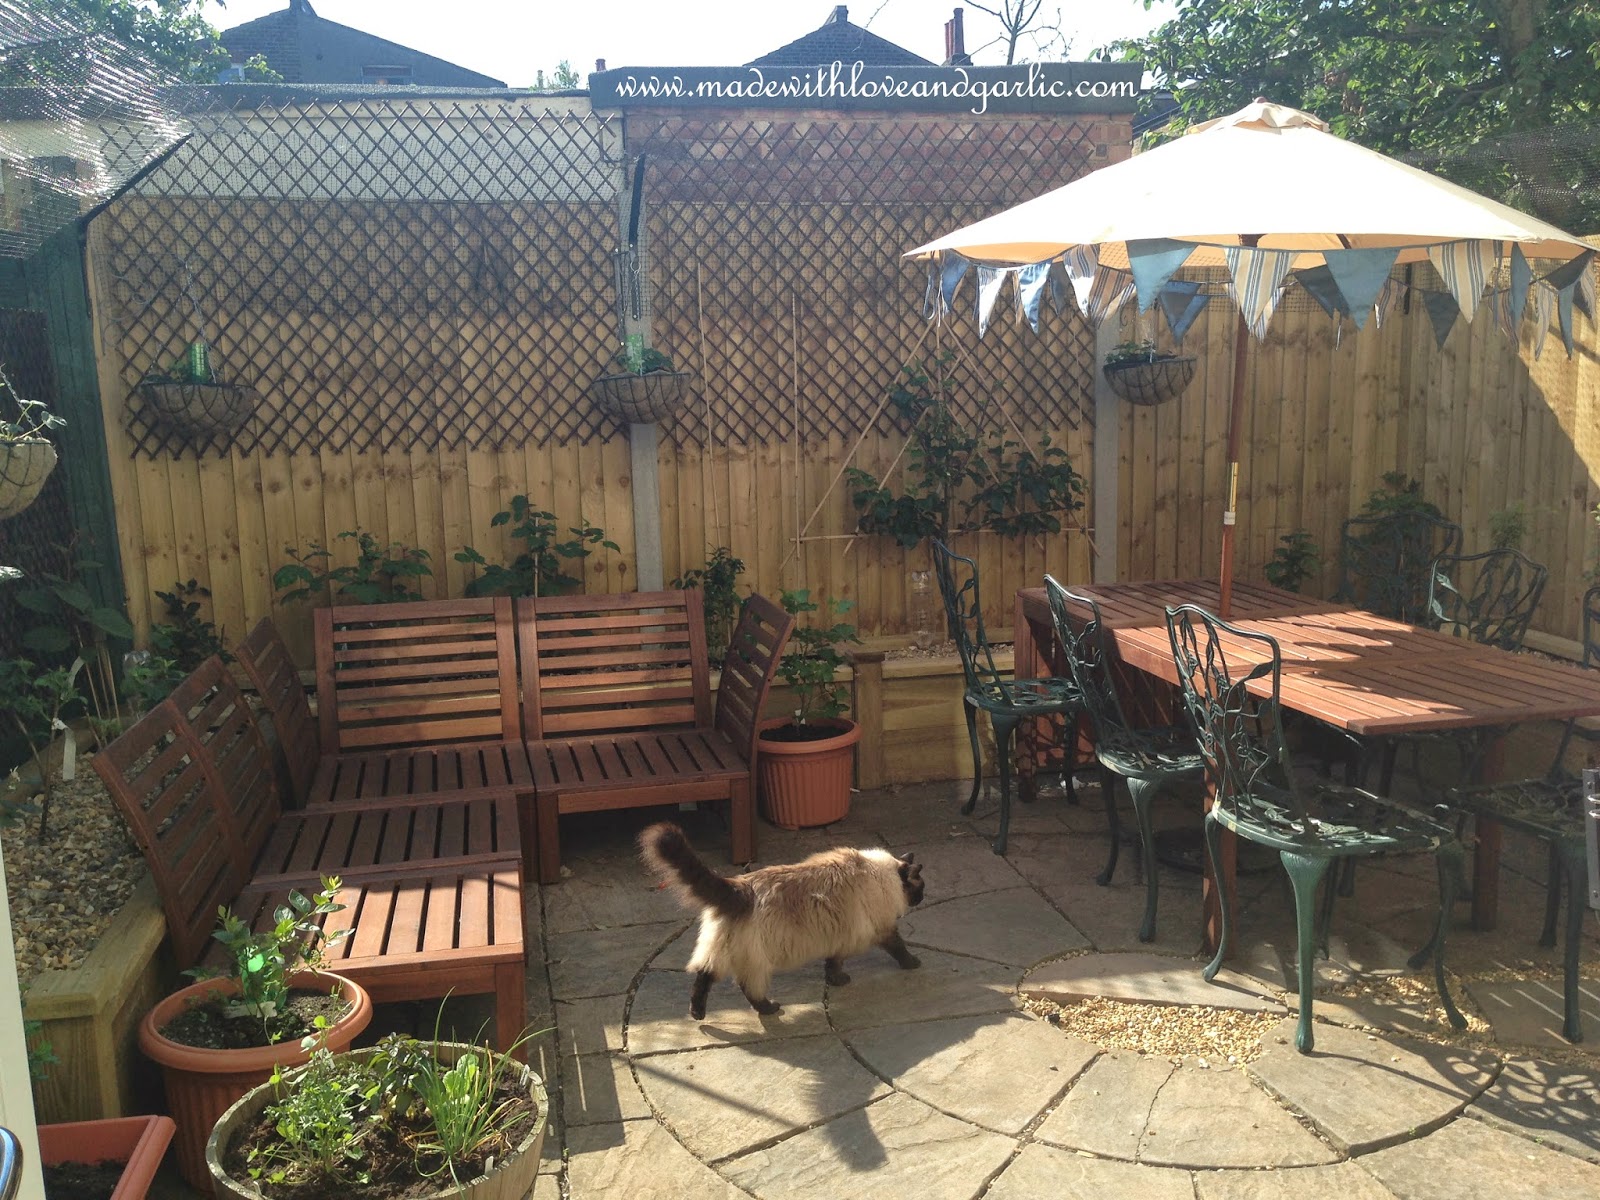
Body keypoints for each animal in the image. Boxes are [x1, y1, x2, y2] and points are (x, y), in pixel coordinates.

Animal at [639, 822, 925, 1020]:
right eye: (920, 888)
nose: (922, 899)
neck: (883, 874)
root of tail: (739, 887)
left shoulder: (839, 934)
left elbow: (833, 964)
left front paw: (837, 980)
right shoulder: (881, 928)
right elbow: (898, 947)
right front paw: (913, 964)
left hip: (720, 950)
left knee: (703, 976)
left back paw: (697, 1014)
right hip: (757, 961)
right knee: (747, 987)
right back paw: (769, 1009)